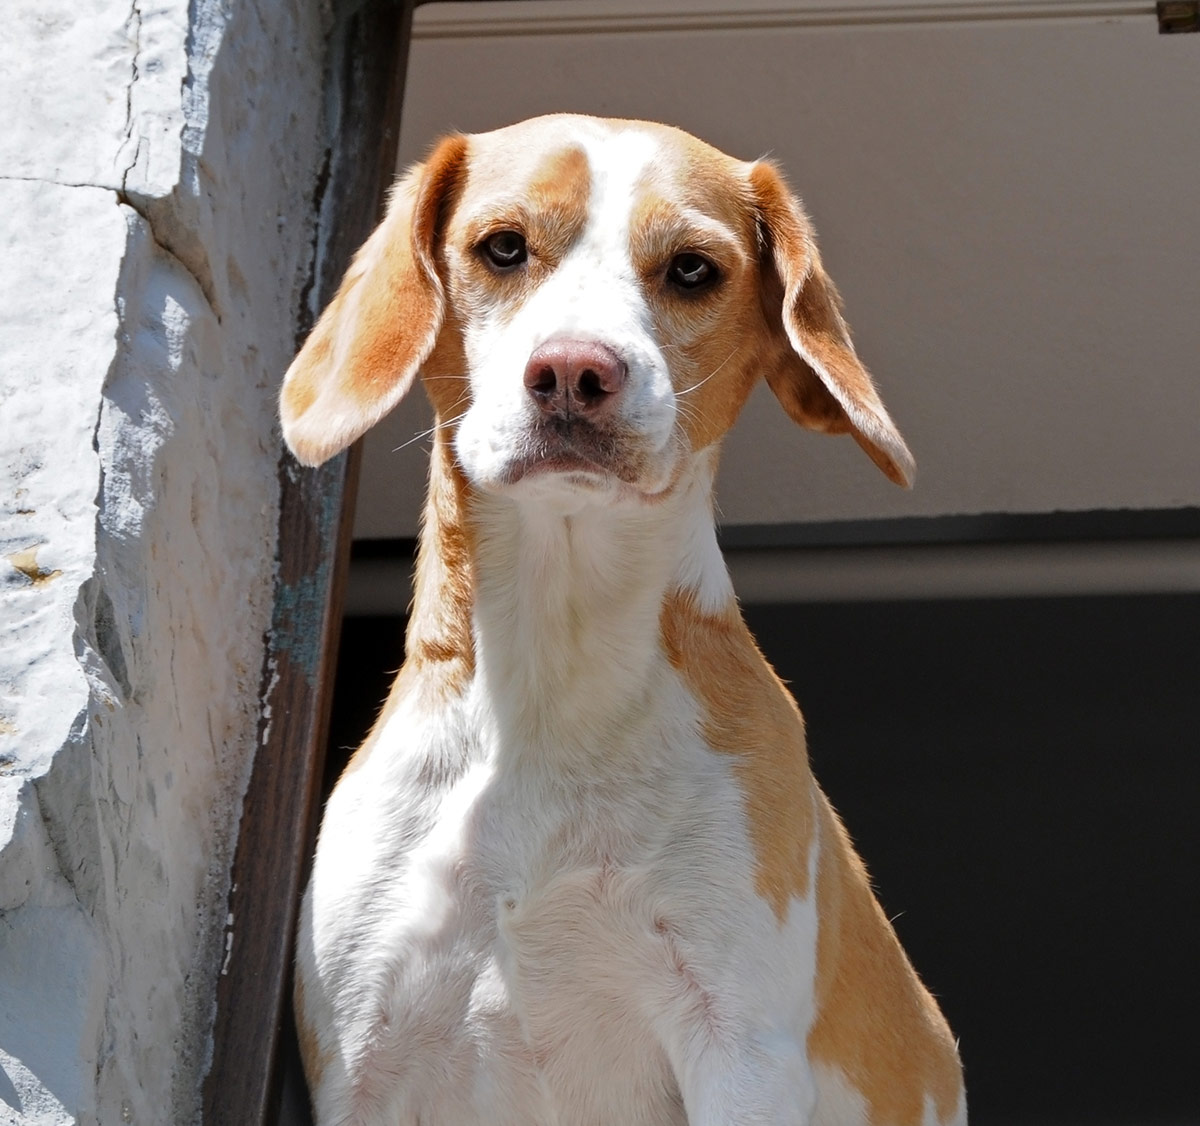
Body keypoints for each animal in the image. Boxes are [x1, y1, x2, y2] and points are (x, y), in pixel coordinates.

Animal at [280, 114, 964, 1123]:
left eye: (691, 269)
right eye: (503, 247)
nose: (573, 370)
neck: (557, 676)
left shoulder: (737, 1052)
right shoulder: (365, 1052)